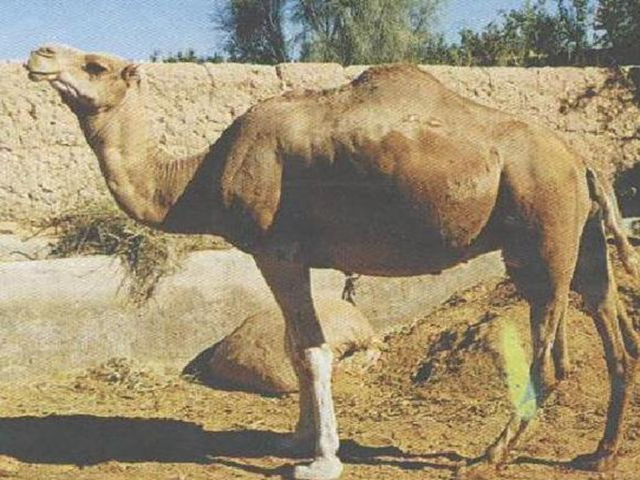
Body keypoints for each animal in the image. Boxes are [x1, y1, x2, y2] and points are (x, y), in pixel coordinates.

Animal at [26, 44, 639, 480]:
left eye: (96, 65)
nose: (39, 55)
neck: (196, 178)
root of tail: (582, 160)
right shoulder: (290, 258)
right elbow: (296, 351)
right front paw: (296, 438)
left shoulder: (277, 250)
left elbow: (312, 352)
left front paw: (321, 459)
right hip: (582, 236)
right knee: (613, 326)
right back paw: (600, 454)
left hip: (540, 234)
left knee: (549, 355)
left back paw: (486, 458)